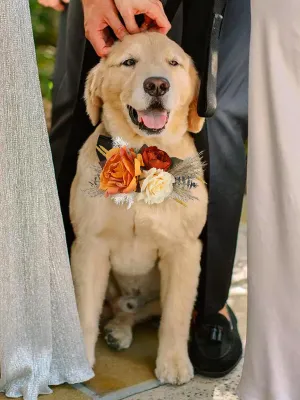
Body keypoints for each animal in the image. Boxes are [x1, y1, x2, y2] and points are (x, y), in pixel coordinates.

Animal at [69, 32, 207, 384]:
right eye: (129, 62)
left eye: (174, 63)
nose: (157, 85)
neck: (142, 158)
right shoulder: (90, 246)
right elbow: (85, 310)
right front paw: (80, 363)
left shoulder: (184, 250)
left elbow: (176, 315)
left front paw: (173, 363)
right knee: (116, 309)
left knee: (140, 311)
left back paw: (121, 330)